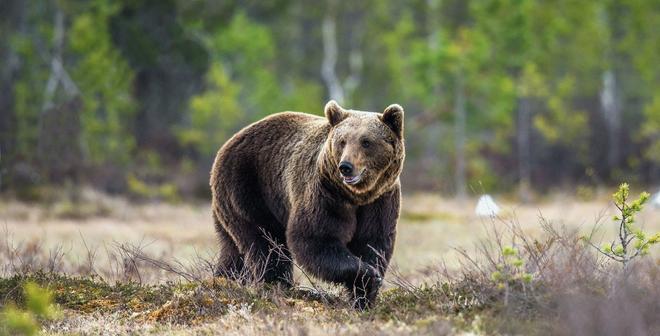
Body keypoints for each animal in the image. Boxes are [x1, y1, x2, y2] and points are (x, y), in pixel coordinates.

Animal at [210, 100, 402, 310]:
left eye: (366, 141)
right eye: (342, 141)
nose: (346, 167)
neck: (356, 196)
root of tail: (225, 146)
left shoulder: (380, 200)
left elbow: (373, 242)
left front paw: (364, 297)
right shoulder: (326, 193)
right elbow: (316, 238)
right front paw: (368, 275)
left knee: (233, 250)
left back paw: (223, 281)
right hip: (248, 189)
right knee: (266, 244)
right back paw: (278, 286)